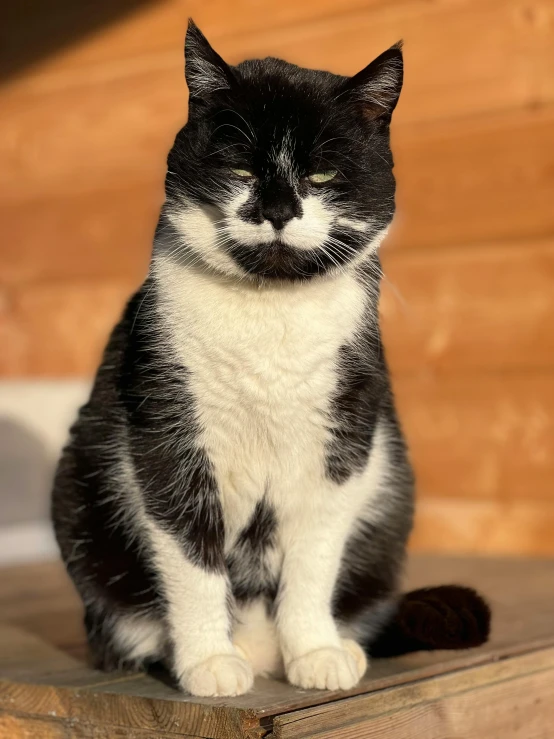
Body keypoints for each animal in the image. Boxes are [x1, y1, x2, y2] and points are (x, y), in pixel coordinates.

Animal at [51, 18, 490, 700]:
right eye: (237, 163)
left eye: (323, 176)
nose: (278, 210)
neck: (269, 314)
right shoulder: (167, 437)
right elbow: (191, 557)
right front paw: (208, 662)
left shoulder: (343, 442)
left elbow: (313, 559)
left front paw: (315, 652)